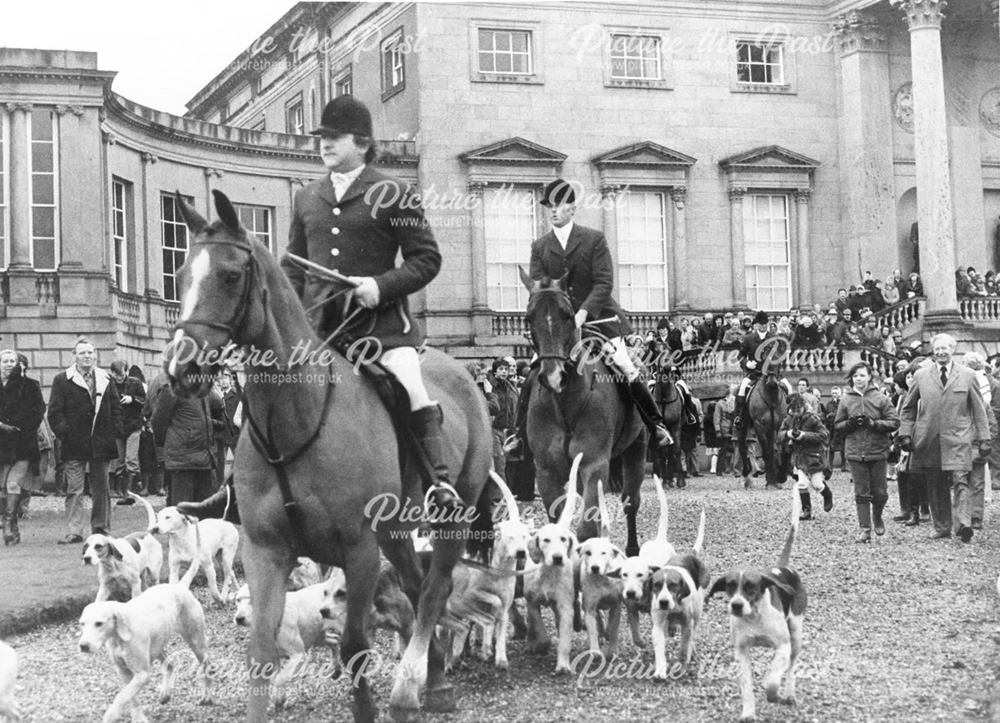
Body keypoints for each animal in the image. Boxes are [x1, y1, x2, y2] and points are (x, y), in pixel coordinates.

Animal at [164, 192, 492, 723]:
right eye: (180, 273)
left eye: (230, 276)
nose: (180, 369)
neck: (295, 419)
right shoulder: (266, 551)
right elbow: (260, 650)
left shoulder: (358, 552)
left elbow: (355, 644)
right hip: (395, 531)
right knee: (416, 584)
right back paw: (433, 674)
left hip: (450, 517)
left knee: (433, 587)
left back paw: (423, 684)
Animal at [520, 268, 644, 556]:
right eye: (529, 317)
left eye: (567, 314)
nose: (553, 377)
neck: (565, 404)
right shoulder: (547, 470)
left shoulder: (594, 465)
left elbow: (587, 529)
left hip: (637, 449)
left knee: (630, 502)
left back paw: (632, 550)